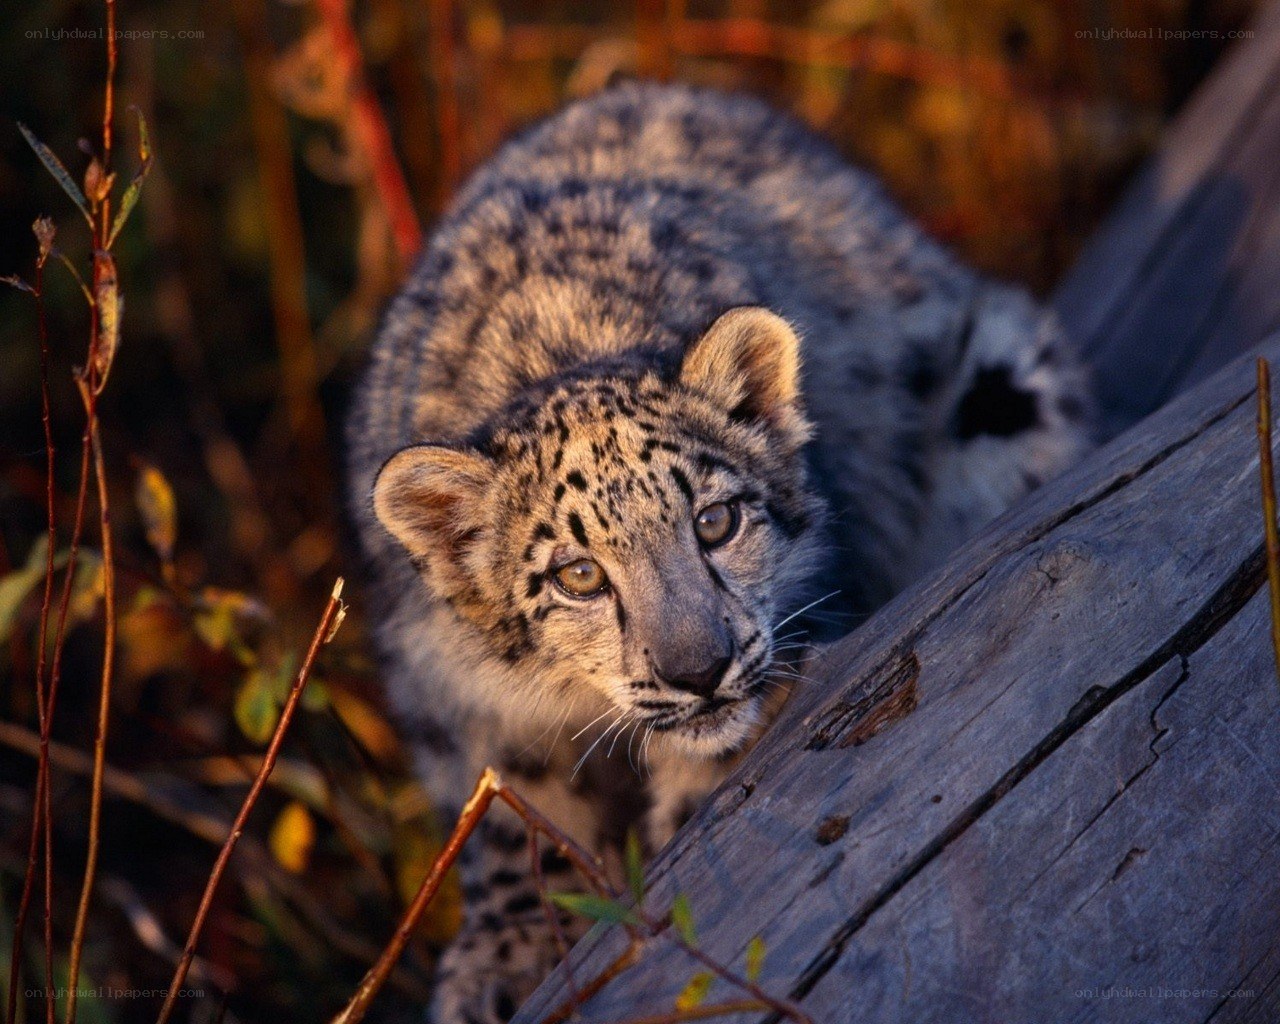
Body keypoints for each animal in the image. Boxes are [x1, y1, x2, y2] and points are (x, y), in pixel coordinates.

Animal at [345, 79, 1093, 1022]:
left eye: (714, 522)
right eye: (578, 576)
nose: (698, 671)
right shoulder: (444, 688)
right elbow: (514, 805)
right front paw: (499, 962)